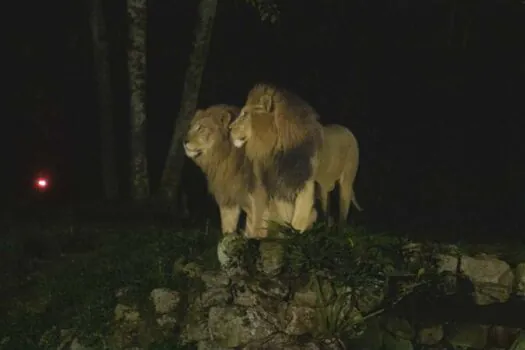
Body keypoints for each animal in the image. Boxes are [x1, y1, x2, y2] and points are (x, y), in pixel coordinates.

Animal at [229, 83, 324, 235]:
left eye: (245, 114)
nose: (229, 128)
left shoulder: (305, 182)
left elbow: (300, 216)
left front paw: (296, 233)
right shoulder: (269, 186)